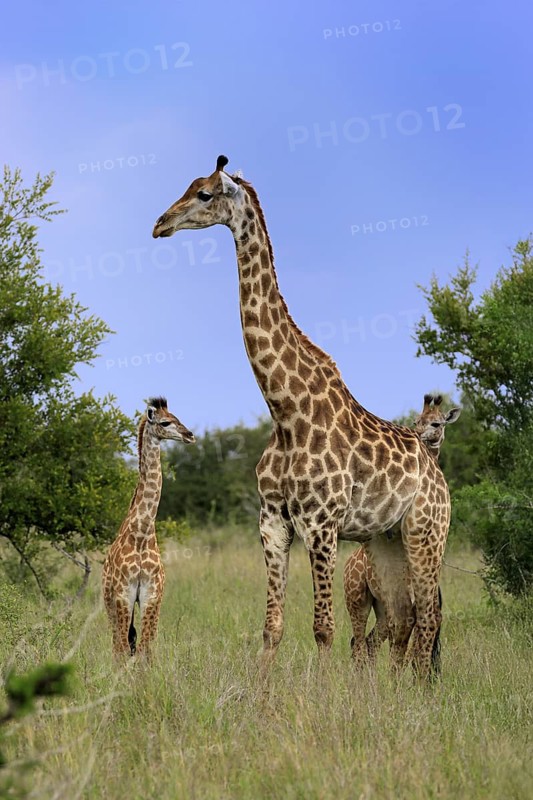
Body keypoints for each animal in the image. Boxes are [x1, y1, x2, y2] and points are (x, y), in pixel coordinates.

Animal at [102, 397, 195, 658]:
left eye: (177, 417)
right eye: (165, 422)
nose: (190, 435)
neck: (142, 534)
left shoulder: (152, 594)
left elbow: (145, 650)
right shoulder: (124, 594)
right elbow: (126, 649)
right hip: (109, 601)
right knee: (117, 645)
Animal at [343, 394, 461, 672]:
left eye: (437, 423)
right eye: (417, 421)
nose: (421, 436)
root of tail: (348, 563)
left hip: (381, 609)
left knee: (368, 642)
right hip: (357, 598)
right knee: (358, 642)